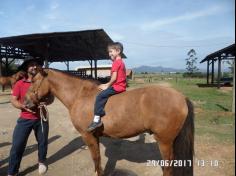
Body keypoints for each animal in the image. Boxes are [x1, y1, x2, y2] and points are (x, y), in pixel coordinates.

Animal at [24, 68, 195, 176]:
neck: (80, 95)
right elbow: (98, 158)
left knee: (168, 167)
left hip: (164, 141)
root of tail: (181, 97)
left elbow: (96, 159)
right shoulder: (95, 136)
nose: (25, 102)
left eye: (34, 81)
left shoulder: (87, 136)